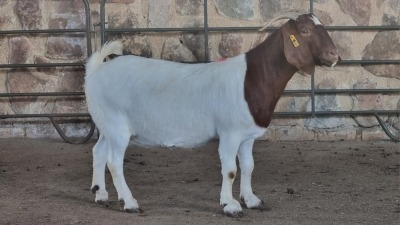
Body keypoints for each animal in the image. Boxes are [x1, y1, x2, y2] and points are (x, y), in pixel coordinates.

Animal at [84, 12, 340, 216]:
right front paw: (230, 205)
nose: (334, 55)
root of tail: (97, 68)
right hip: (117, 126)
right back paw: (129, 202)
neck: (251, 78)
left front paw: (251, 200)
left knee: (98, 151)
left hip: (107, 125)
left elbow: (248, 166)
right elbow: (230, 170)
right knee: (114, 162)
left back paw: (100, 193)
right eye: (305, 31)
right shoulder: (230, 133)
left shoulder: (247, 136)